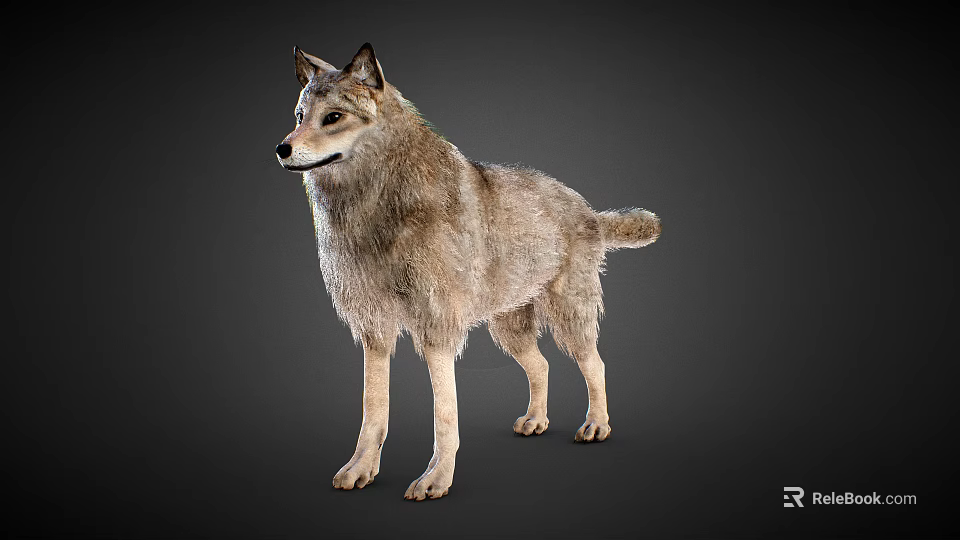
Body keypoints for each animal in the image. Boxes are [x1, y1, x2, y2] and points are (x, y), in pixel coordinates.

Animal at [276, 43, 661, 501]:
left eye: (333, 117)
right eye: (300, 116)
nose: (281, 148)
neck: (373, 205)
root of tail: (587, 209)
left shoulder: (436, 330)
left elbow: (444, 416)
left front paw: (436, 479)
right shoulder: (375, 331)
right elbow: (373, 411)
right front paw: (361, 469)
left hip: (569, 318)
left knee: (595, 365)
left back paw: (596, 426)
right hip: (508, 328)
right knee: (542, 366)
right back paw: (536, 421)